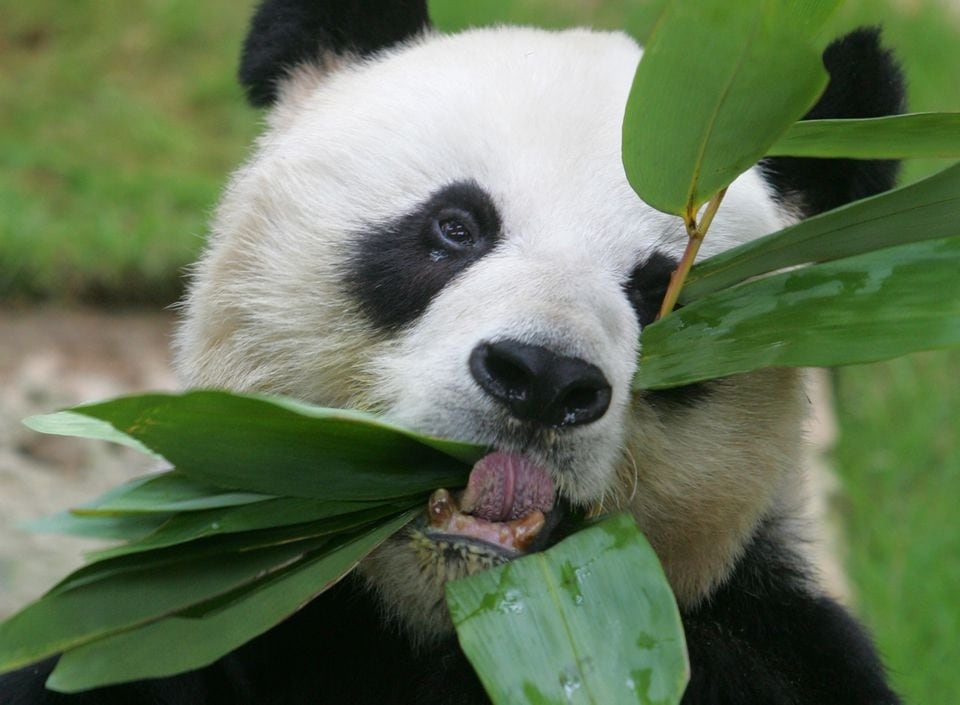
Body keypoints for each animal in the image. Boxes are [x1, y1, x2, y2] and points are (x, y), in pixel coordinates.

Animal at [3, 1, 908, 704]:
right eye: (456, 227)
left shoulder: (763, 643)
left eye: (661, 290)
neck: (492, 622)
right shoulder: (179, 620)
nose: (542, 379)